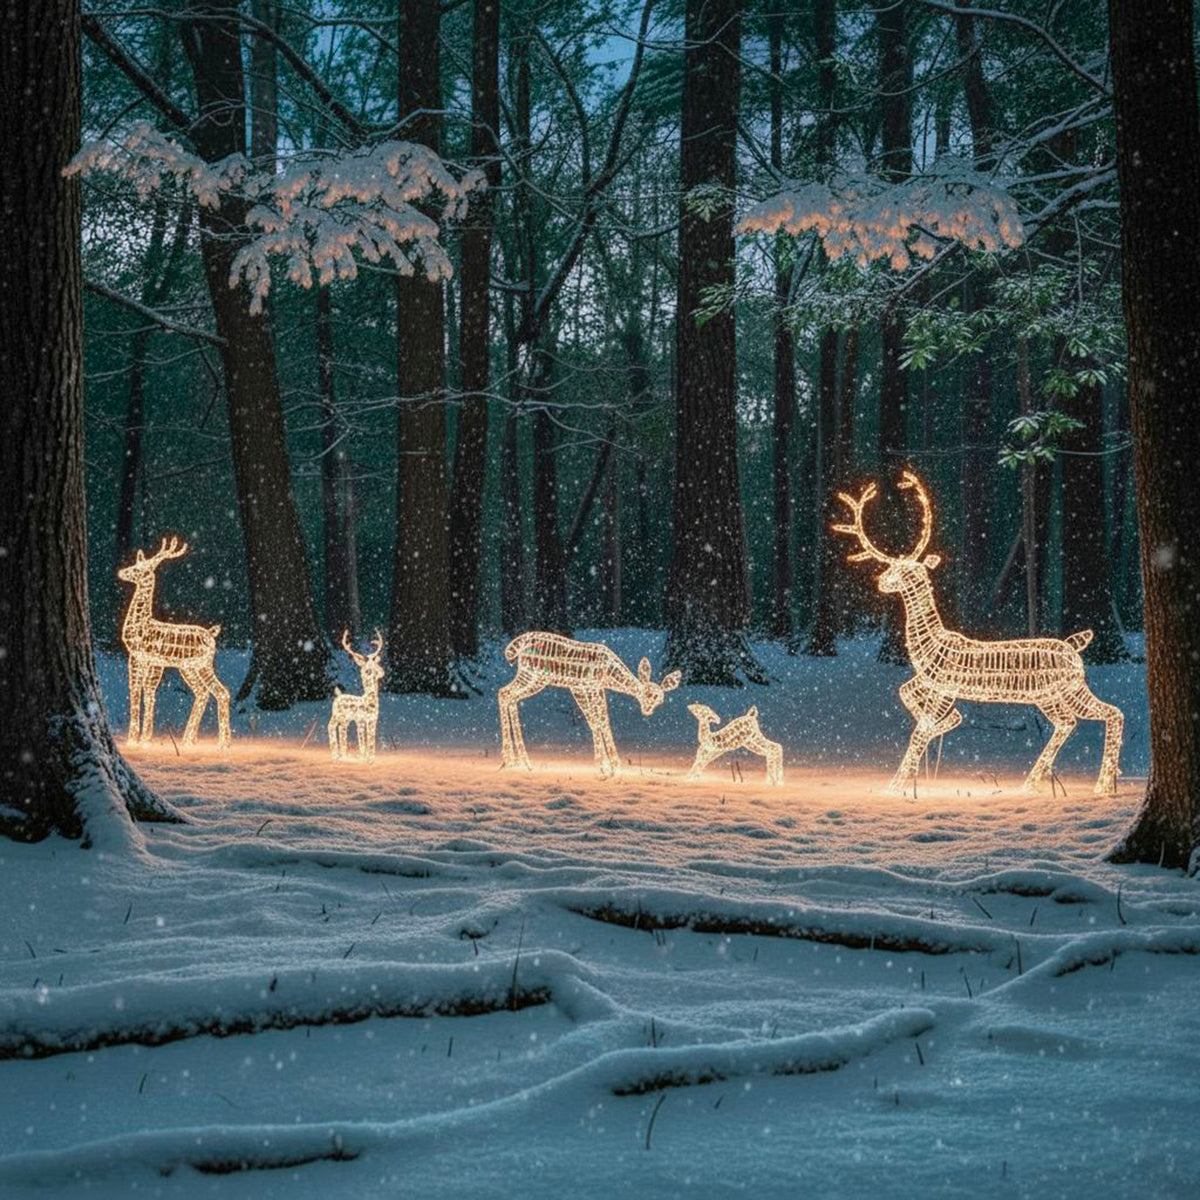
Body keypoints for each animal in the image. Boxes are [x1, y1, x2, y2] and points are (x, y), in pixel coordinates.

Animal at [117, 537, 231, 749]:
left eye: (139, 568)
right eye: (135, 563)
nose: (121, 572)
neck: (141, 623)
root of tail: (212, 635)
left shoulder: (138, 656)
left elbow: (136, 692)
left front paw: (135, 740)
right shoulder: (156, 662)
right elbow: (148, 693)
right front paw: (143, 739)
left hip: (198, 665)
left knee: (217, 692)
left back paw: (221, 744)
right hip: (192, 667)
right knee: (207, 692)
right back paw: (192, 741)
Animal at [329, 630, 385, 763]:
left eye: (376, 664)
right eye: (368, 668)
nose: (382, 671)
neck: (369, 700)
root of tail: (338, 695)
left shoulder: (372, 719)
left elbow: (370, 740)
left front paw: (370, 759)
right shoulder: (361, 720)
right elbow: (363, 741)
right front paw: (366, 759)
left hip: (346, 720)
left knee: (341, 730)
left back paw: (342, 754)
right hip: (337, 715)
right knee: (331, 727)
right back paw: (336, 755)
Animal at [499, 632, 681, 775]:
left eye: (660, 700)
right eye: (646, 694)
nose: (648, 711)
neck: (609, 673)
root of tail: (518, 644)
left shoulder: (594, 689)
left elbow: (603, 720)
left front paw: (615, 765)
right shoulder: (584, 686)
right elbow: (595, 721)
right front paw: (603, 766)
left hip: (533, 678)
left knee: (510, 697)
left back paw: (518, 762)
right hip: (532, 676)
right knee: (504, 693)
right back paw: (510, 760)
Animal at [833, 471, 1123, 796]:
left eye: (909, 571)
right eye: (894, 567)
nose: (881, 582)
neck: (930, 644)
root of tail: (1075, 646)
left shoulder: (944, 687)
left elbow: (920, 731)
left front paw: (897, 785)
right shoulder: (926, 682)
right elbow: (906, 694)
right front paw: (942, 731)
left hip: (1069, 688)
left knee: (1111, 713)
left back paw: (1102, 786)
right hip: (1050, 695)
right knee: (1069, 722)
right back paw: (1035, 784)